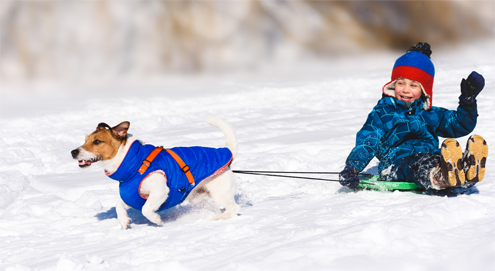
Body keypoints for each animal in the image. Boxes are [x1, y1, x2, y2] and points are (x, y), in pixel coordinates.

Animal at [71, 118, 240, 230]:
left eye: (97, 141)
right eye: (85, 140)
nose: (73, 152)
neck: (134, 163)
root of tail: (228, 154)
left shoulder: (160, 191)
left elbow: (146, 209)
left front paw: (156, 219)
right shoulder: (132, 195)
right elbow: (119, 205)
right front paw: (124, 221)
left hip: (220, 192)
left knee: (233, 208)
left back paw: (219, 218)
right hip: (198, 198)